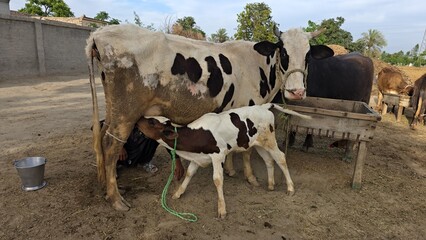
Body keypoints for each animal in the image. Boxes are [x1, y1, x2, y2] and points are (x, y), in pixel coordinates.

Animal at [136, 103, 310, 218]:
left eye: (152, 122)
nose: (137, 120)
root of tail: (264, 106)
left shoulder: (218, 155)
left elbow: (218, 179)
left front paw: (222, 209)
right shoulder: (198, 157)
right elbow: (189, 174)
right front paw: (178, 193)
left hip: (270, 140)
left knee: (280, 158)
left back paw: (290, 188)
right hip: (258, 143)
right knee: (269, 160)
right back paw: (271, 184)